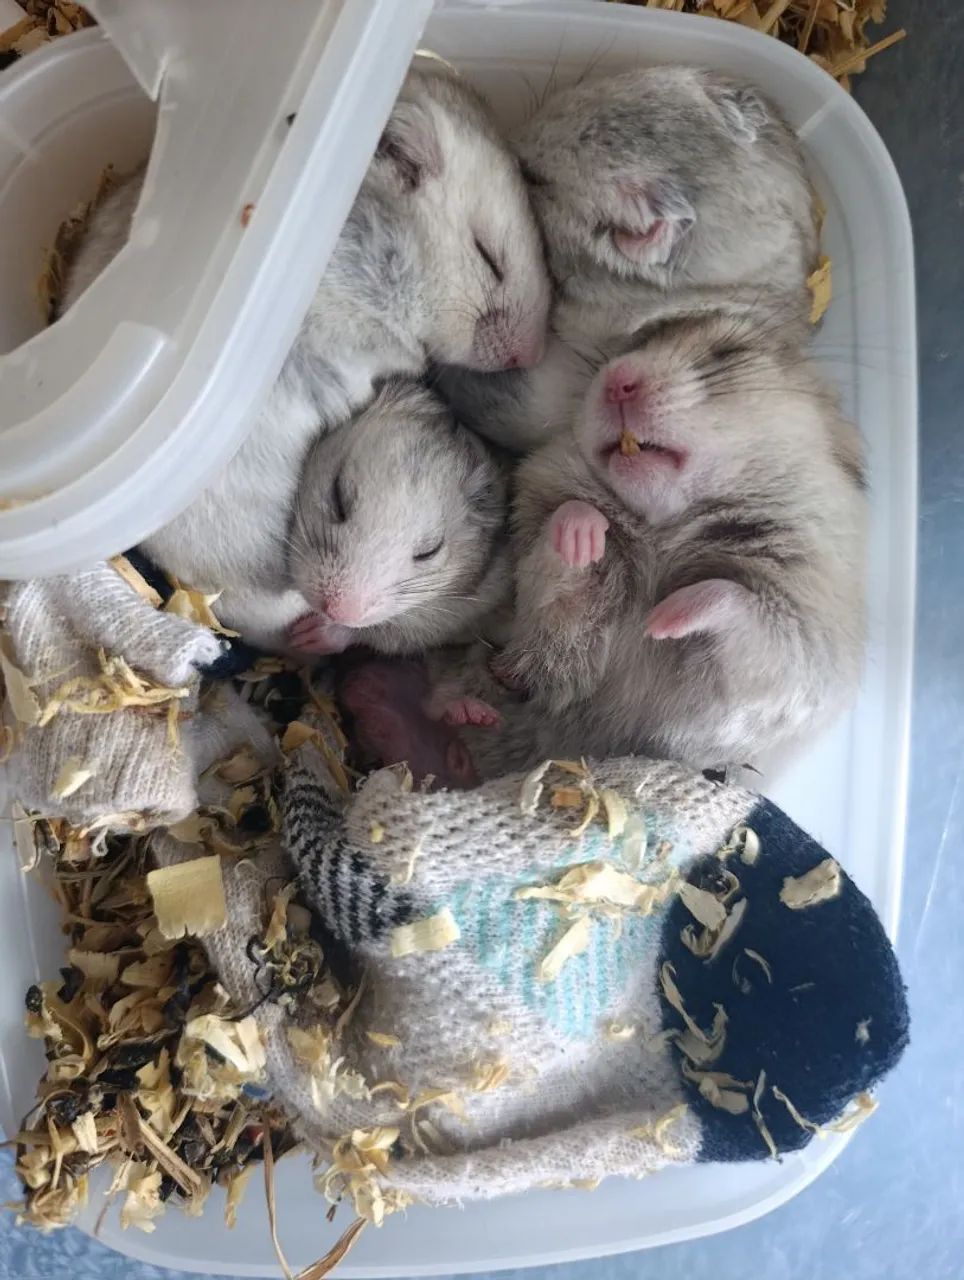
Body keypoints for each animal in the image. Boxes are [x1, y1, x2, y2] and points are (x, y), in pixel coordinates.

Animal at [285, 379, 509, 658]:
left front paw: (304, 636)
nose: (337, 611)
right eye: (338, 496)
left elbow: (383, 632)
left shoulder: (457, 614)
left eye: (429, 551)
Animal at [349, 307, 867, 785]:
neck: (664, 528)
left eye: (729, 353)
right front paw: (588, 535)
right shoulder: (550, 587)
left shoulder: (796, 645)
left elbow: (739, 608)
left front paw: (663, 620)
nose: (618, 381)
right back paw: (434, 708)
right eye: (621, 351)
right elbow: (568, 555)